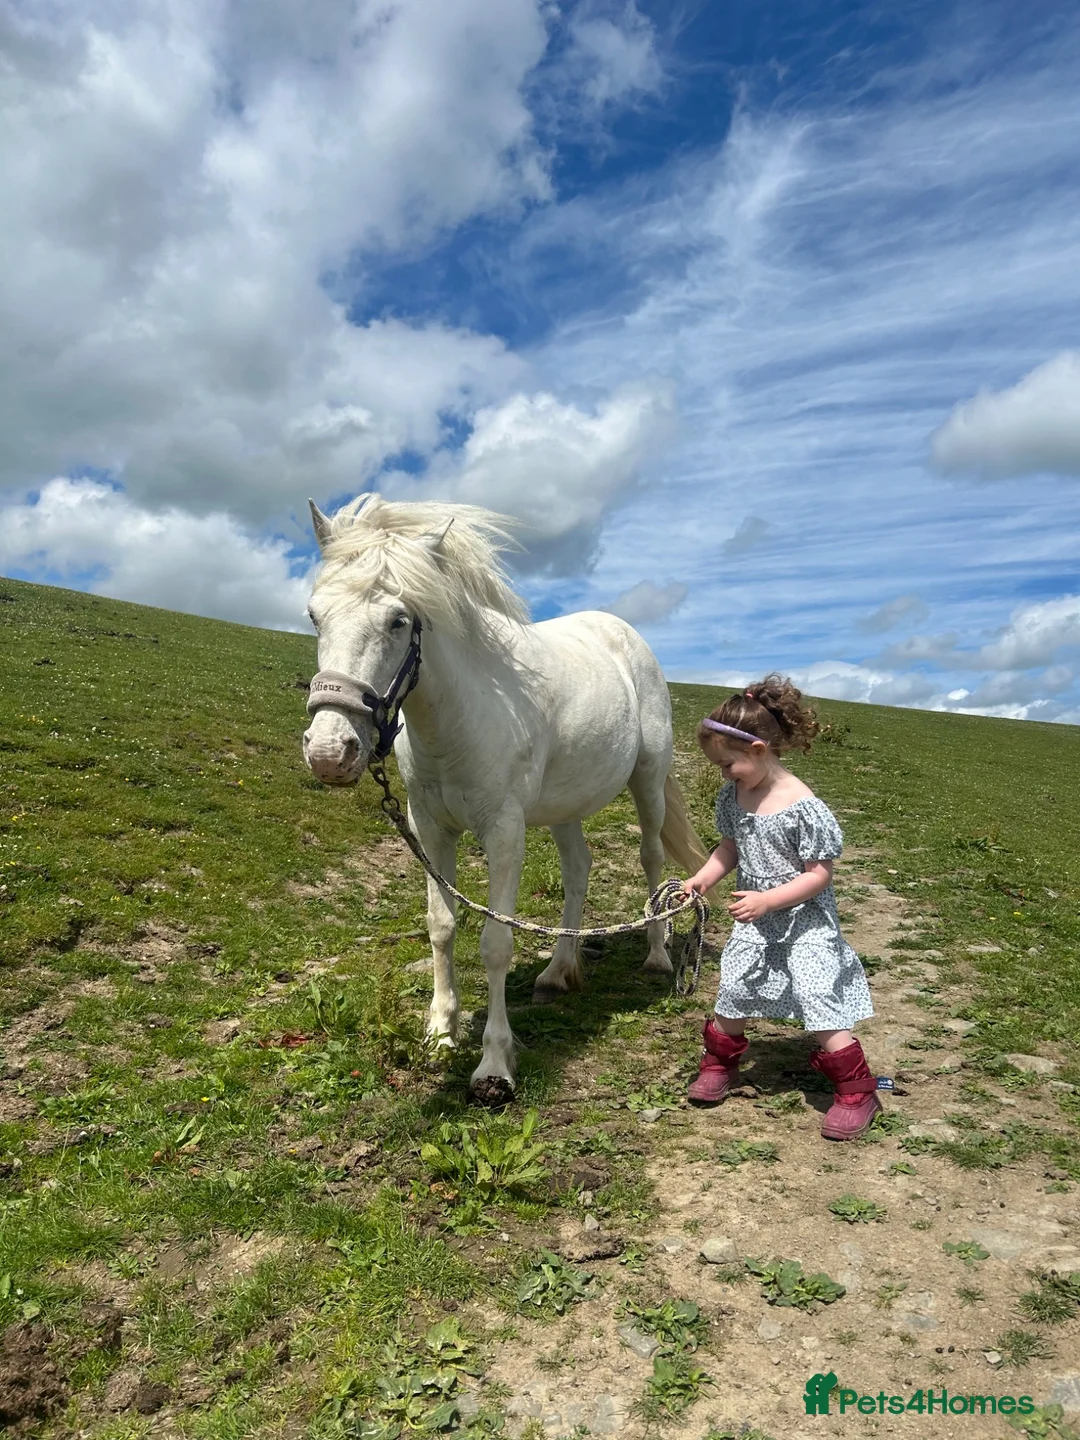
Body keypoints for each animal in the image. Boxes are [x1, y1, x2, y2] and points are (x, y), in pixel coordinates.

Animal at [301, 493, 712, 1105]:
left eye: (399, 620)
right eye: (315, 616)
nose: (331, 751)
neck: (459, 718)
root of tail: (623, 632)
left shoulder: (503, 830)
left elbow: (495, 941)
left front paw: (493, 1065)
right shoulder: (430, 828)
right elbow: (441, 927)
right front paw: (439, 1034)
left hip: (647, 779)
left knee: (651, 858)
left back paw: (658, 957)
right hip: (566, 805)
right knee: (578, 870)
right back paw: (558, 972)